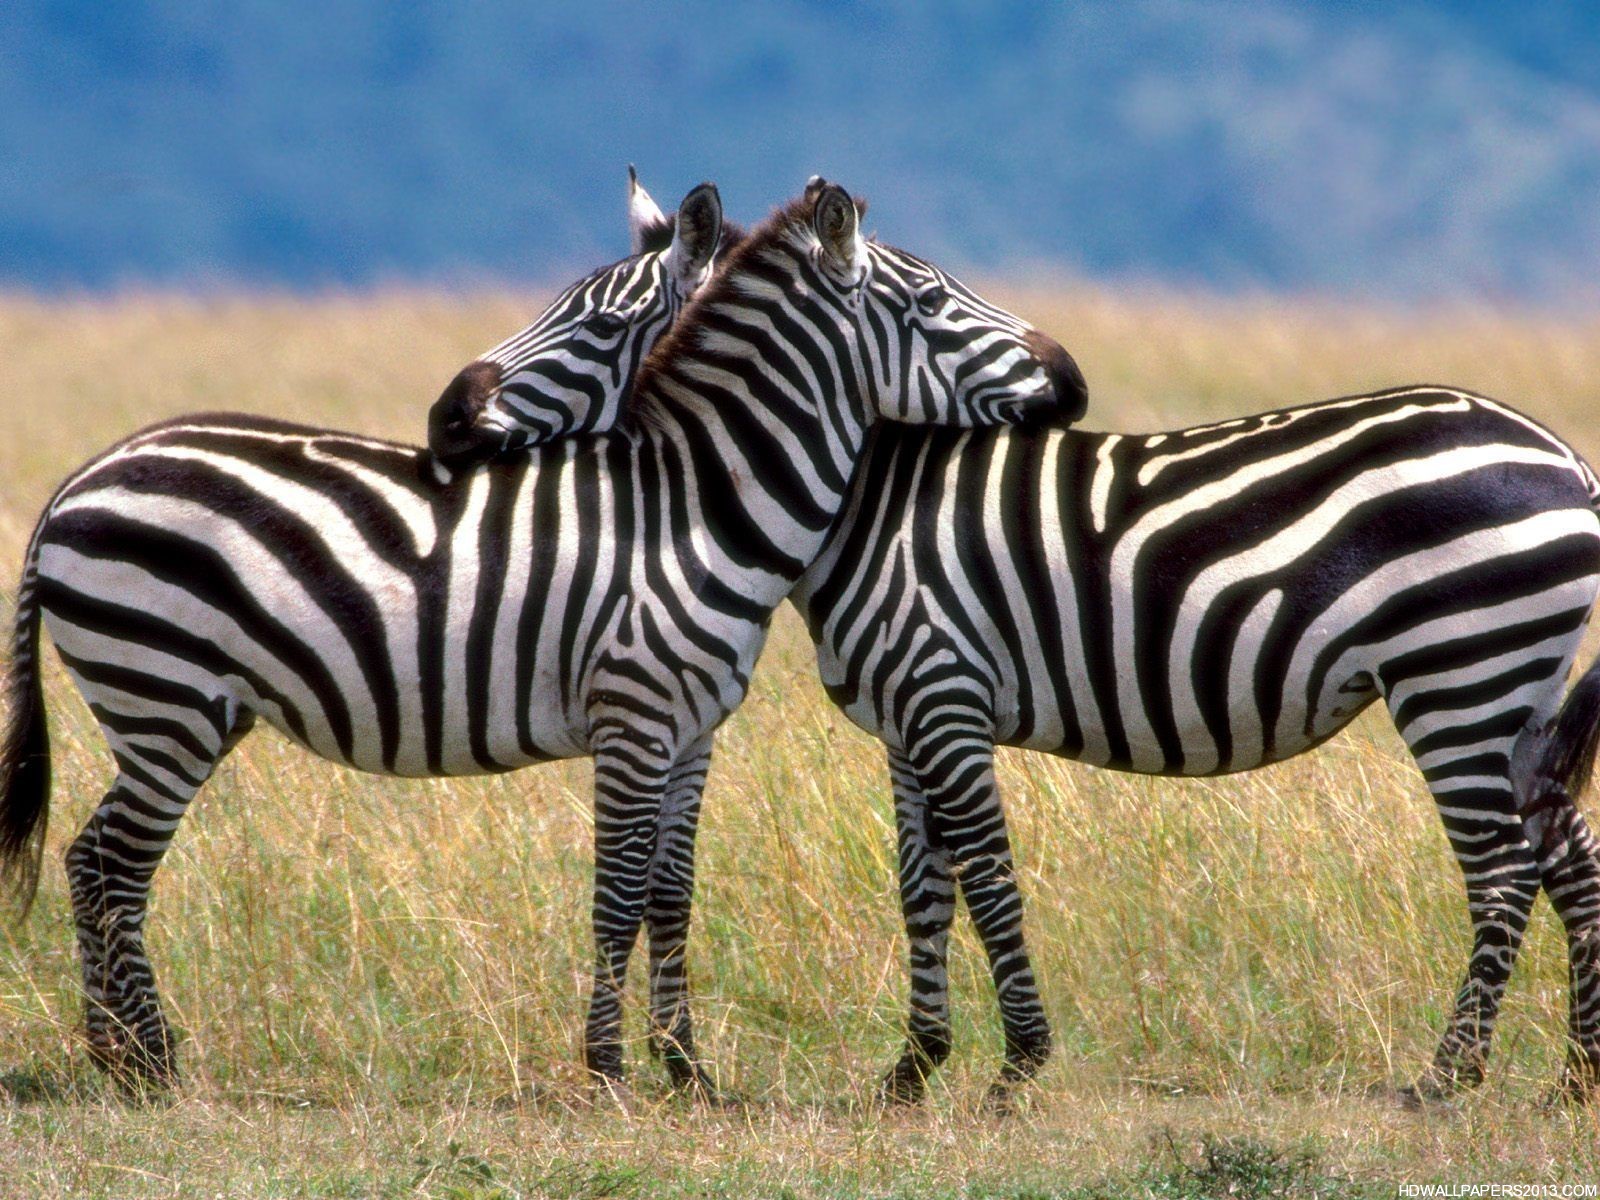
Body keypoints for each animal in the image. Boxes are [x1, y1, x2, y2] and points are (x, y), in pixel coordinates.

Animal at [0, 178, 1084, 1098]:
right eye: (937, 301)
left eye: (597, 322)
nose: (1071, 379)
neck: (696, 505)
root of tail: (79, 478)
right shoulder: (632, 716)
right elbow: (616, 890)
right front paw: (607, 1072)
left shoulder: (693, 730)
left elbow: (669, 892)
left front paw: (687, 1073)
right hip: (163, 697)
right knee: (108, 864)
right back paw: (145, 1064)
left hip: (192, 708)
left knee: (99, 862)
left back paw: (124, 1057)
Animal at [782, 389, 1600, 1107]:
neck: (869, 505)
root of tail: (1569, 463)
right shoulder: (907, 720)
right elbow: (922, 892)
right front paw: (911, 1072)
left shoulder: (942, 690)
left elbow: (983, 884)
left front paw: (1007, 1073)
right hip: (1521, 704)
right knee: (1571, 868)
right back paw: (1575, 1080)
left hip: (1459, 674)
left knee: (1502, 876)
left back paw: (1447, 1079)